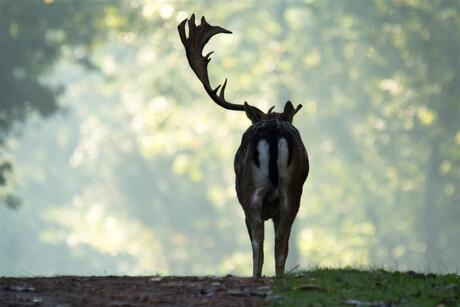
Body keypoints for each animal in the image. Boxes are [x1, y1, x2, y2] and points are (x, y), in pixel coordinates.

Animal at [178, 15, 310, 280]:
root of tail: (272, 131)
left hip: (252, 192)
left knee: (262, 243)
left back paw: (258, 276)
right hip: (288, 193)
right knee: (278, 243)